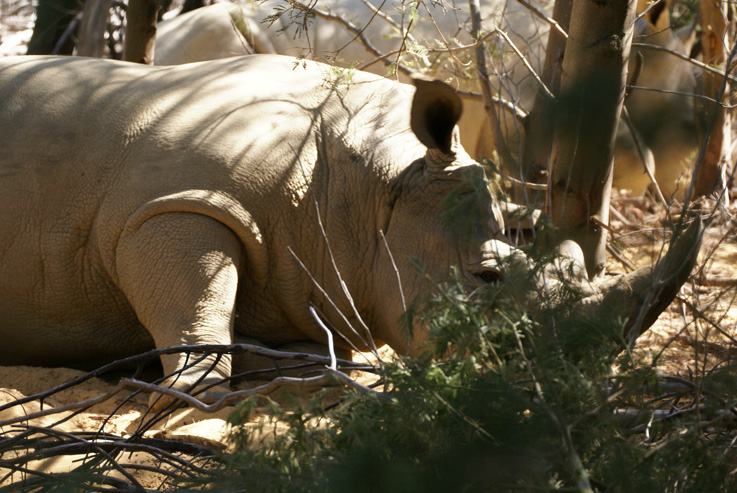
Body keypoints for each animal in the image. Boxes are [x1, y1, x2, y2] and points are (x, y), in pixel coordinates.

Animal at [0, 53, 700, 402]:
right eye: (486, 276)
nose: (570, 377)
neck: (371, 186)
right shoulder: (175, 207)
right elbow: (195, 305)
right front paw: (191, 399)